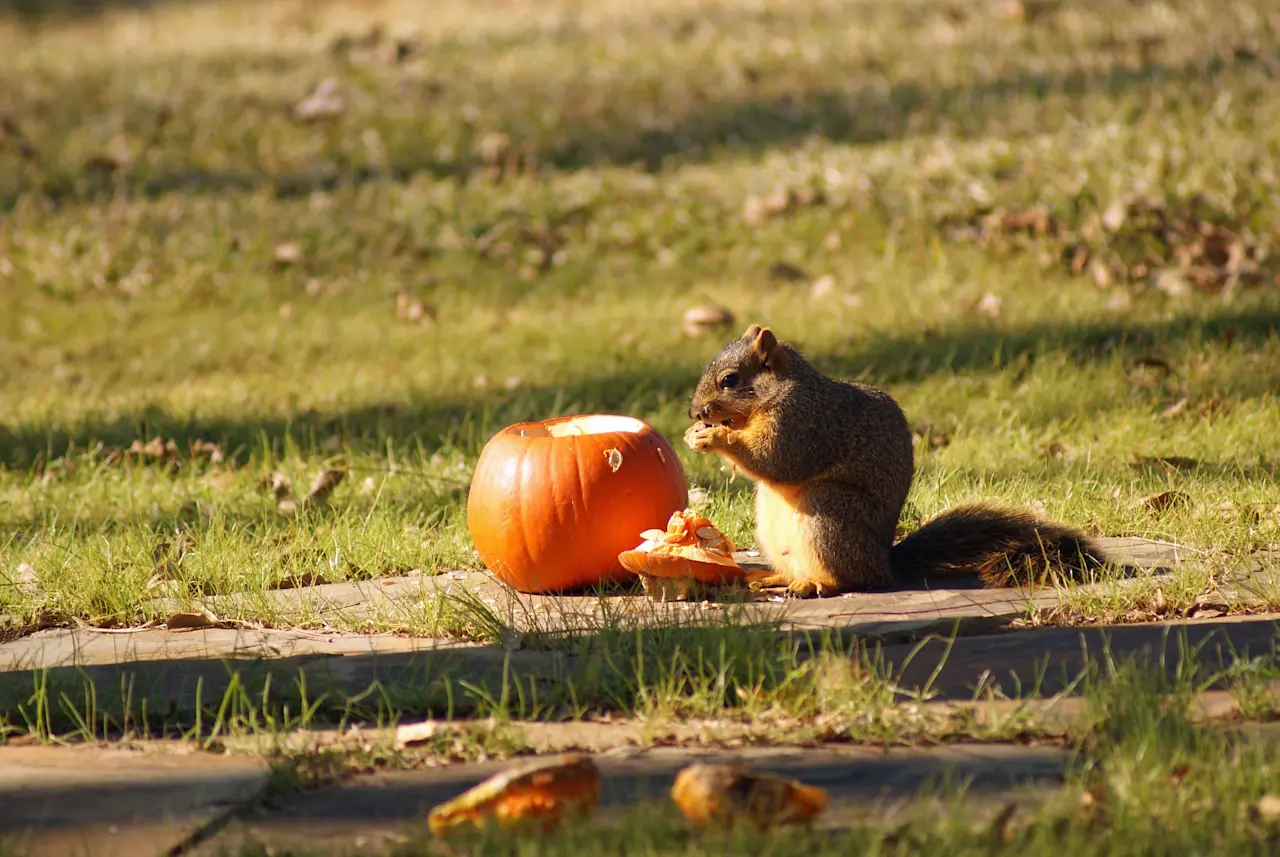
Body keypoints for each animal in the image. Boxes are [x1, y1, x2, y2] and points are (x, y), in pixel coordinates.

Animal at [683, 324, 1104, 597]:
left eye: (730, 380)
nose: (693, 412)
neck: (780, 391)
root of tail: (885, 564)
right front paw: (696, 434)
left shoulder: (803, 422)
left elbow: (776, 460)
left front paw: (714, 436)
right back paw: (778, 578)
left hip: (829, 512)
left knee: (850, 579)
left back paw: (817, 583)